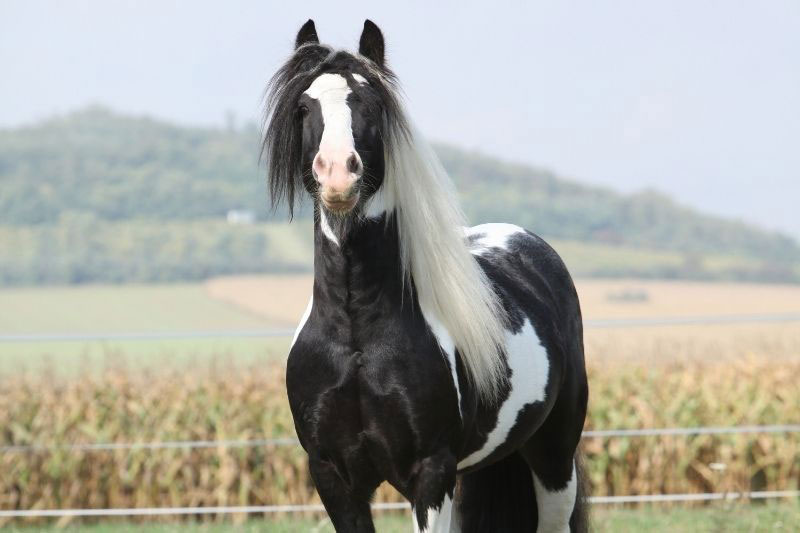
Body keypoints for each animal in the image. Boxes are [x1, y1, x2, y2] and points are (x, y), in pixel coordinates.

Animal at [262, 19, 589, 533]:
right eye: (303, 106)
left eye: (372, 103)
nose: (337, 174)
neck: (357, 337)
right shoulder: (332, 475)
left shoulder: (430, 473)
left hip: (554, 457)